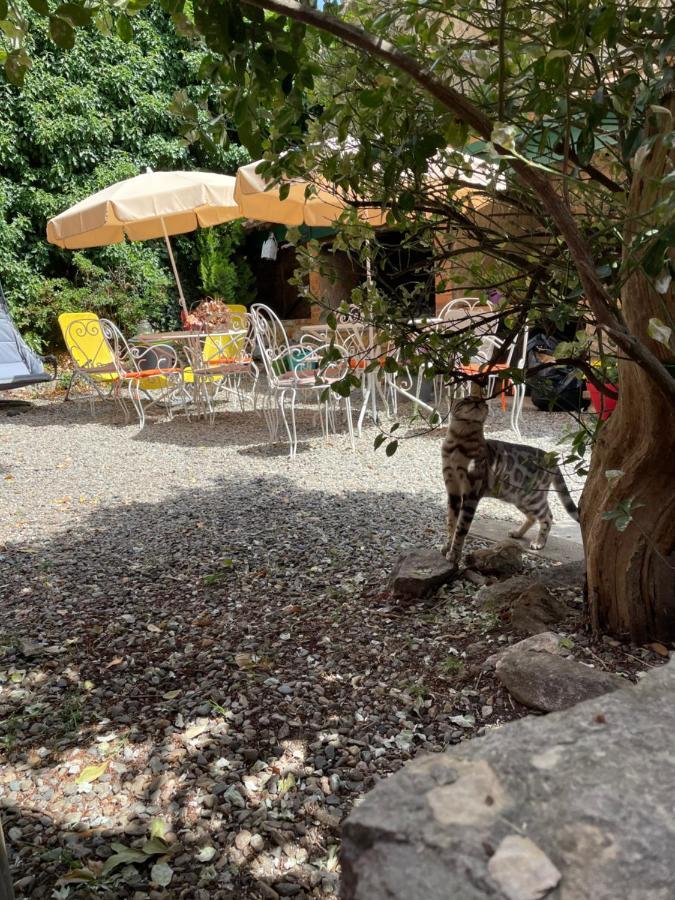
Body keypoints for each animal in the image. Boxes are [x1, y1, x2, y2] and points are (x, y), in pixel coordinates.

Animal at [440, 398, 580, 568]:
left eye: (483, 401)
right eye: (467, 399)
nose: (478, 402)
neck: (458, 444)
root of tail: (550, 457)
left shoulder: (471, 494)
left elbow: (461, 528)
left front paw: (454, 554)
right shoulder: (453, 491)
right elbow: (451, 523)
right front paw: (447, 547)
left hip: (532, 498)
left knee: (548, 517)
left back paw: (539, 542)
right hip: (520, 498)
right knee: (533, 517)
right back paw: (518, 533)